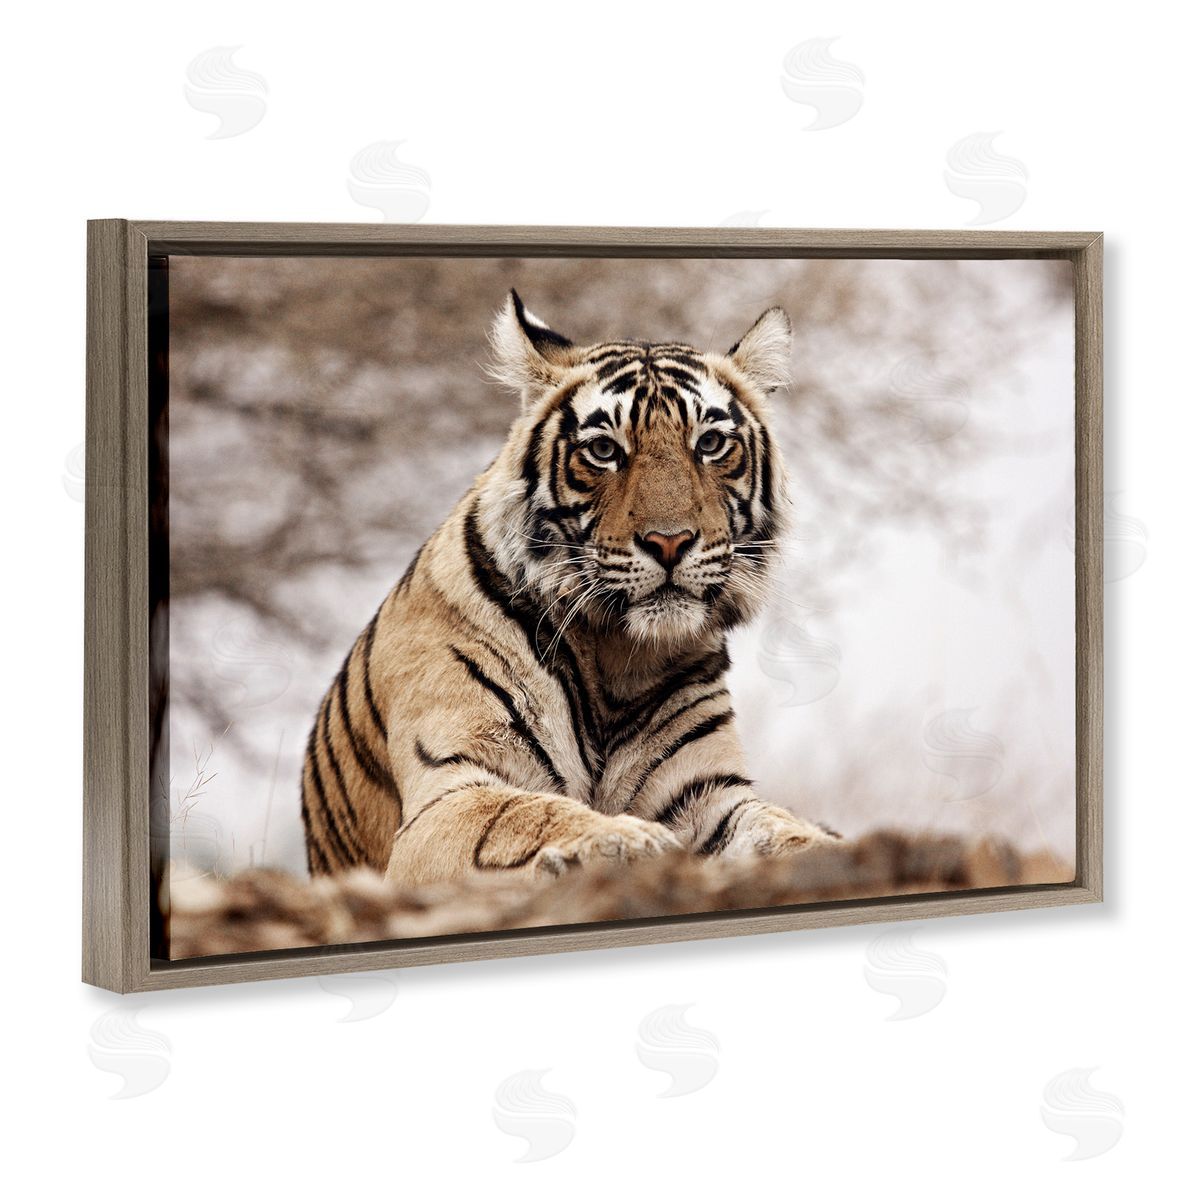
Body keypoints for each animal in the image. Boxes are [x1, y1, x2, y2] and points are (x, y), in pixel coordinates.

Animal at [300, 290, 837, 887]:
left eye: (712, 443)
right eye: (603, 450)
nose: (669, 542)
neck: (617, 656)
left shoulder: (708, 793)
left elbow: (779, 828)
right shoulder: (448, 794)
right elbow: (528, 814)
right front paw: (626, 839)